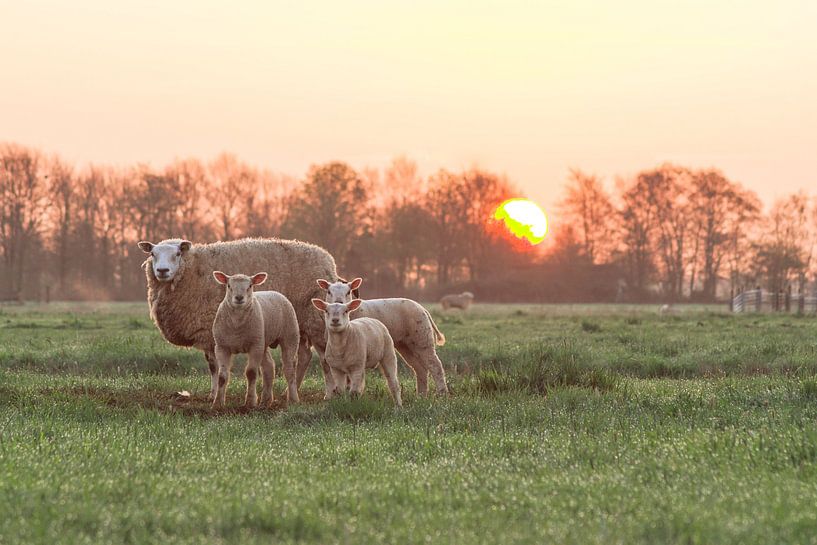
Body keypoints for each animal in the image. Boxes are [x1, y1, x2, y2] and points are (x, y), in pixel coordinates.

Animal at [211, 271, 300, 408]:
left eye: (250, 286)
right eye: (229, 286)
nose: (239, 298)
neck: (237, 326)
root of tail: (274, 292)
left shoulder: (255, 346)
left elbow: (251, 373)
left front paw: (250, 402)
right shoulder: (221, 347)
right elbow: (222, 376)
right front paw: (217, 404)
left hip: (290, 336)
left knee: (289, 368)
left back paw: (293, 399)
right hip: (262, 341)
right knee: (269, 367)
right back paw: (266, 400)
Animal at [318, 277, 448, 395]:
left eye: (348, 292)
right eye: (329, 292)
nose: (339, 303)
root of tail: (423, 309)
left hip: (422, 338)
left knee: (435, 366)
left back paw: (442, 394)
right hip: (406, 344)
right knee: (420, 369)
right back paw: (421, 396)